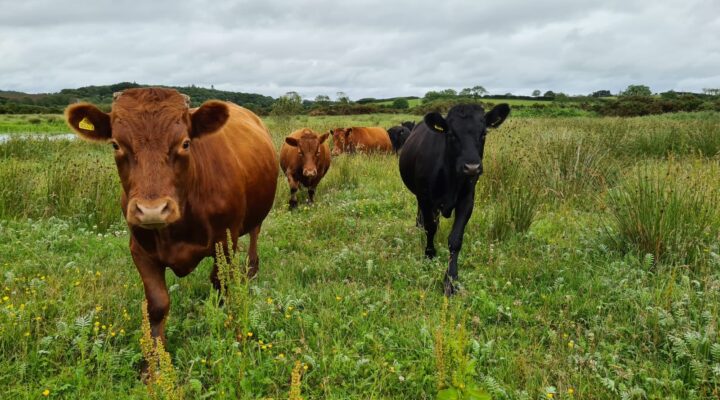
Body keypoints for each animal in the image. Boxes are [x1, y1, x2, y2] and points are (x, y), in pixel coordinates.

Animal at [65, 87, 278, 346]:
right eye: (115, 144)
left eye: (185, 143)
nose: (152, 210)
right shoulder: (140, 249)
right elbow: (157, 304)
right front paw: (155, 354)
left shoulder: (226, 242)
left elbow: (220, 287)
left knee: (255, 234)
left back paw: (251, 269)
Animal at [400, 104, 512, 296]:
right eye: (451, 134)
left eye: (484, 133)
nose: (472, 167)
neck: (450, 177)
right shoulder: (425, 197)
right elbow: (430, 228)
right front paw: (430, 254)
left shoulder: (467, 201)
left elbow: (455, 240)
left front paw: (451, 280)